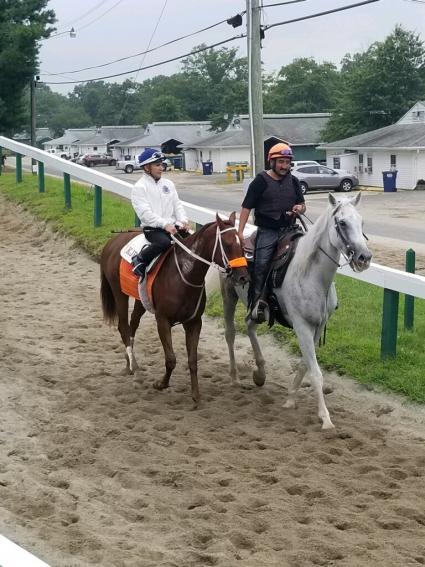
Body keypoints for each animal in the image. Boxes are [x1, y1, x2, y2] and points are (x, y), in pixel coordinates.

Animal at [100, 213, 248, 404]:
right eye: (228, 244)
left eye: (242, 244)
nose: (243, 277)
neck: (184, 274)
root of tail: (112, 241)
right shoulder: (162, 320)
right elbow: (171, 359)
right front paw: (161, 384)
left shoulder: (194, 323)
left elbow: (192, 360)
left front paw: (195, 394)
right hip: (119, 292)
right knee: (123, 327)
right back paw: (134, 368)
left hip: (141, 299)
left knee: (133, 324)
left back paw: (129, 362)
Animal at [220, 193, 370, 428]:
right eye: (342, 223)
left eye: (361, 222)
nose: (364, 257)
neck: (312, 275)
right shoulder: (301, 326)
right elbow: (316, 372)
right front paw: (325, 418)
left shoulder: (317, 327)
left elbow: (304, 365)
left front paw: (290, 399)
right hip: (229, 296)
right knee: (230, 333)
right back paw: (235, 377)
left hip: (256, 310)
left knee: (249, 326)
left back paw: (260, 373)